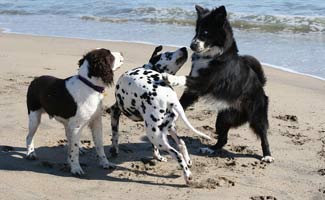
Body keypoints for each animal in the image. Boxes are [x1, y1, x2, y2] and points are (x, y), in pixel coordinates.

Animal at [108, 46, 210, 184]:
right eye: (167, 54)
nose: (184, 48)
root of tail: (169, 96)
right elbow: (155, 149)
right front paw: (158, 157)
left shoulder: (115, 111)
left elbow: (115, 135)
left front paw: (114, 151)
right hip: (165, 129)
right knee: (181, 143)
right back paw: (188, 161)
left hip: (155, 135)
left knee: (177, 154)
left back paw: (187, 175)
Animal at [163, 5, 272, 162]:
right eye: (196, 31)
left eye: (206, 32)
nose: (191, 46)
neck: (212, 56)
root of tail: (261, 86)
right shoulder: (193, 91)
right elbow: (182, 101)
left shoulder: (205, 83)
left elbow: (185, 78)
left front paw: (171, 78)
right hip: (223, 118)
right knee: (223, 139)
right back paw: (210, 149)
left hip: (257, 116)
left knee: (263, 135)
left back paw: (267, 155)